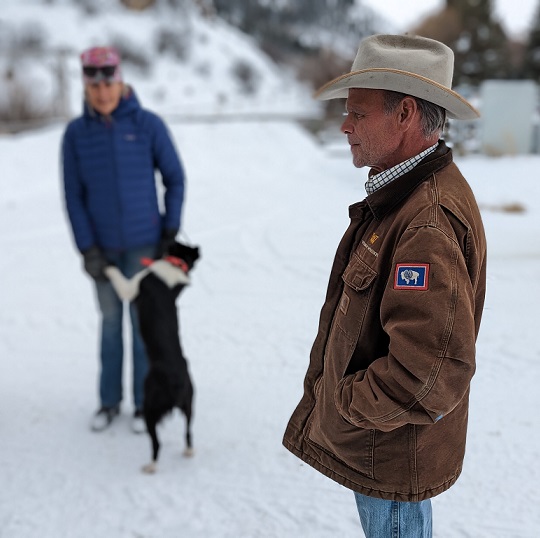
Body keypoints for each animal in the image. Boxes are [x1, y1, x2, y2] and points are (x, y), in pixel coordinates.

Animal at [104, 241, 199, 472]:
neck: (176, 265)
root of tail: (175, 381)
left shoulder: (130, 288)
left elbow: (116, 275)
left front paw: (107, 265)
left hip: (150, 409)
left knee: (157, 443)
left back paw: (150, 466)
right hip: (190, 405)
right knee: (188, 433)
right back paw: (188, 452)